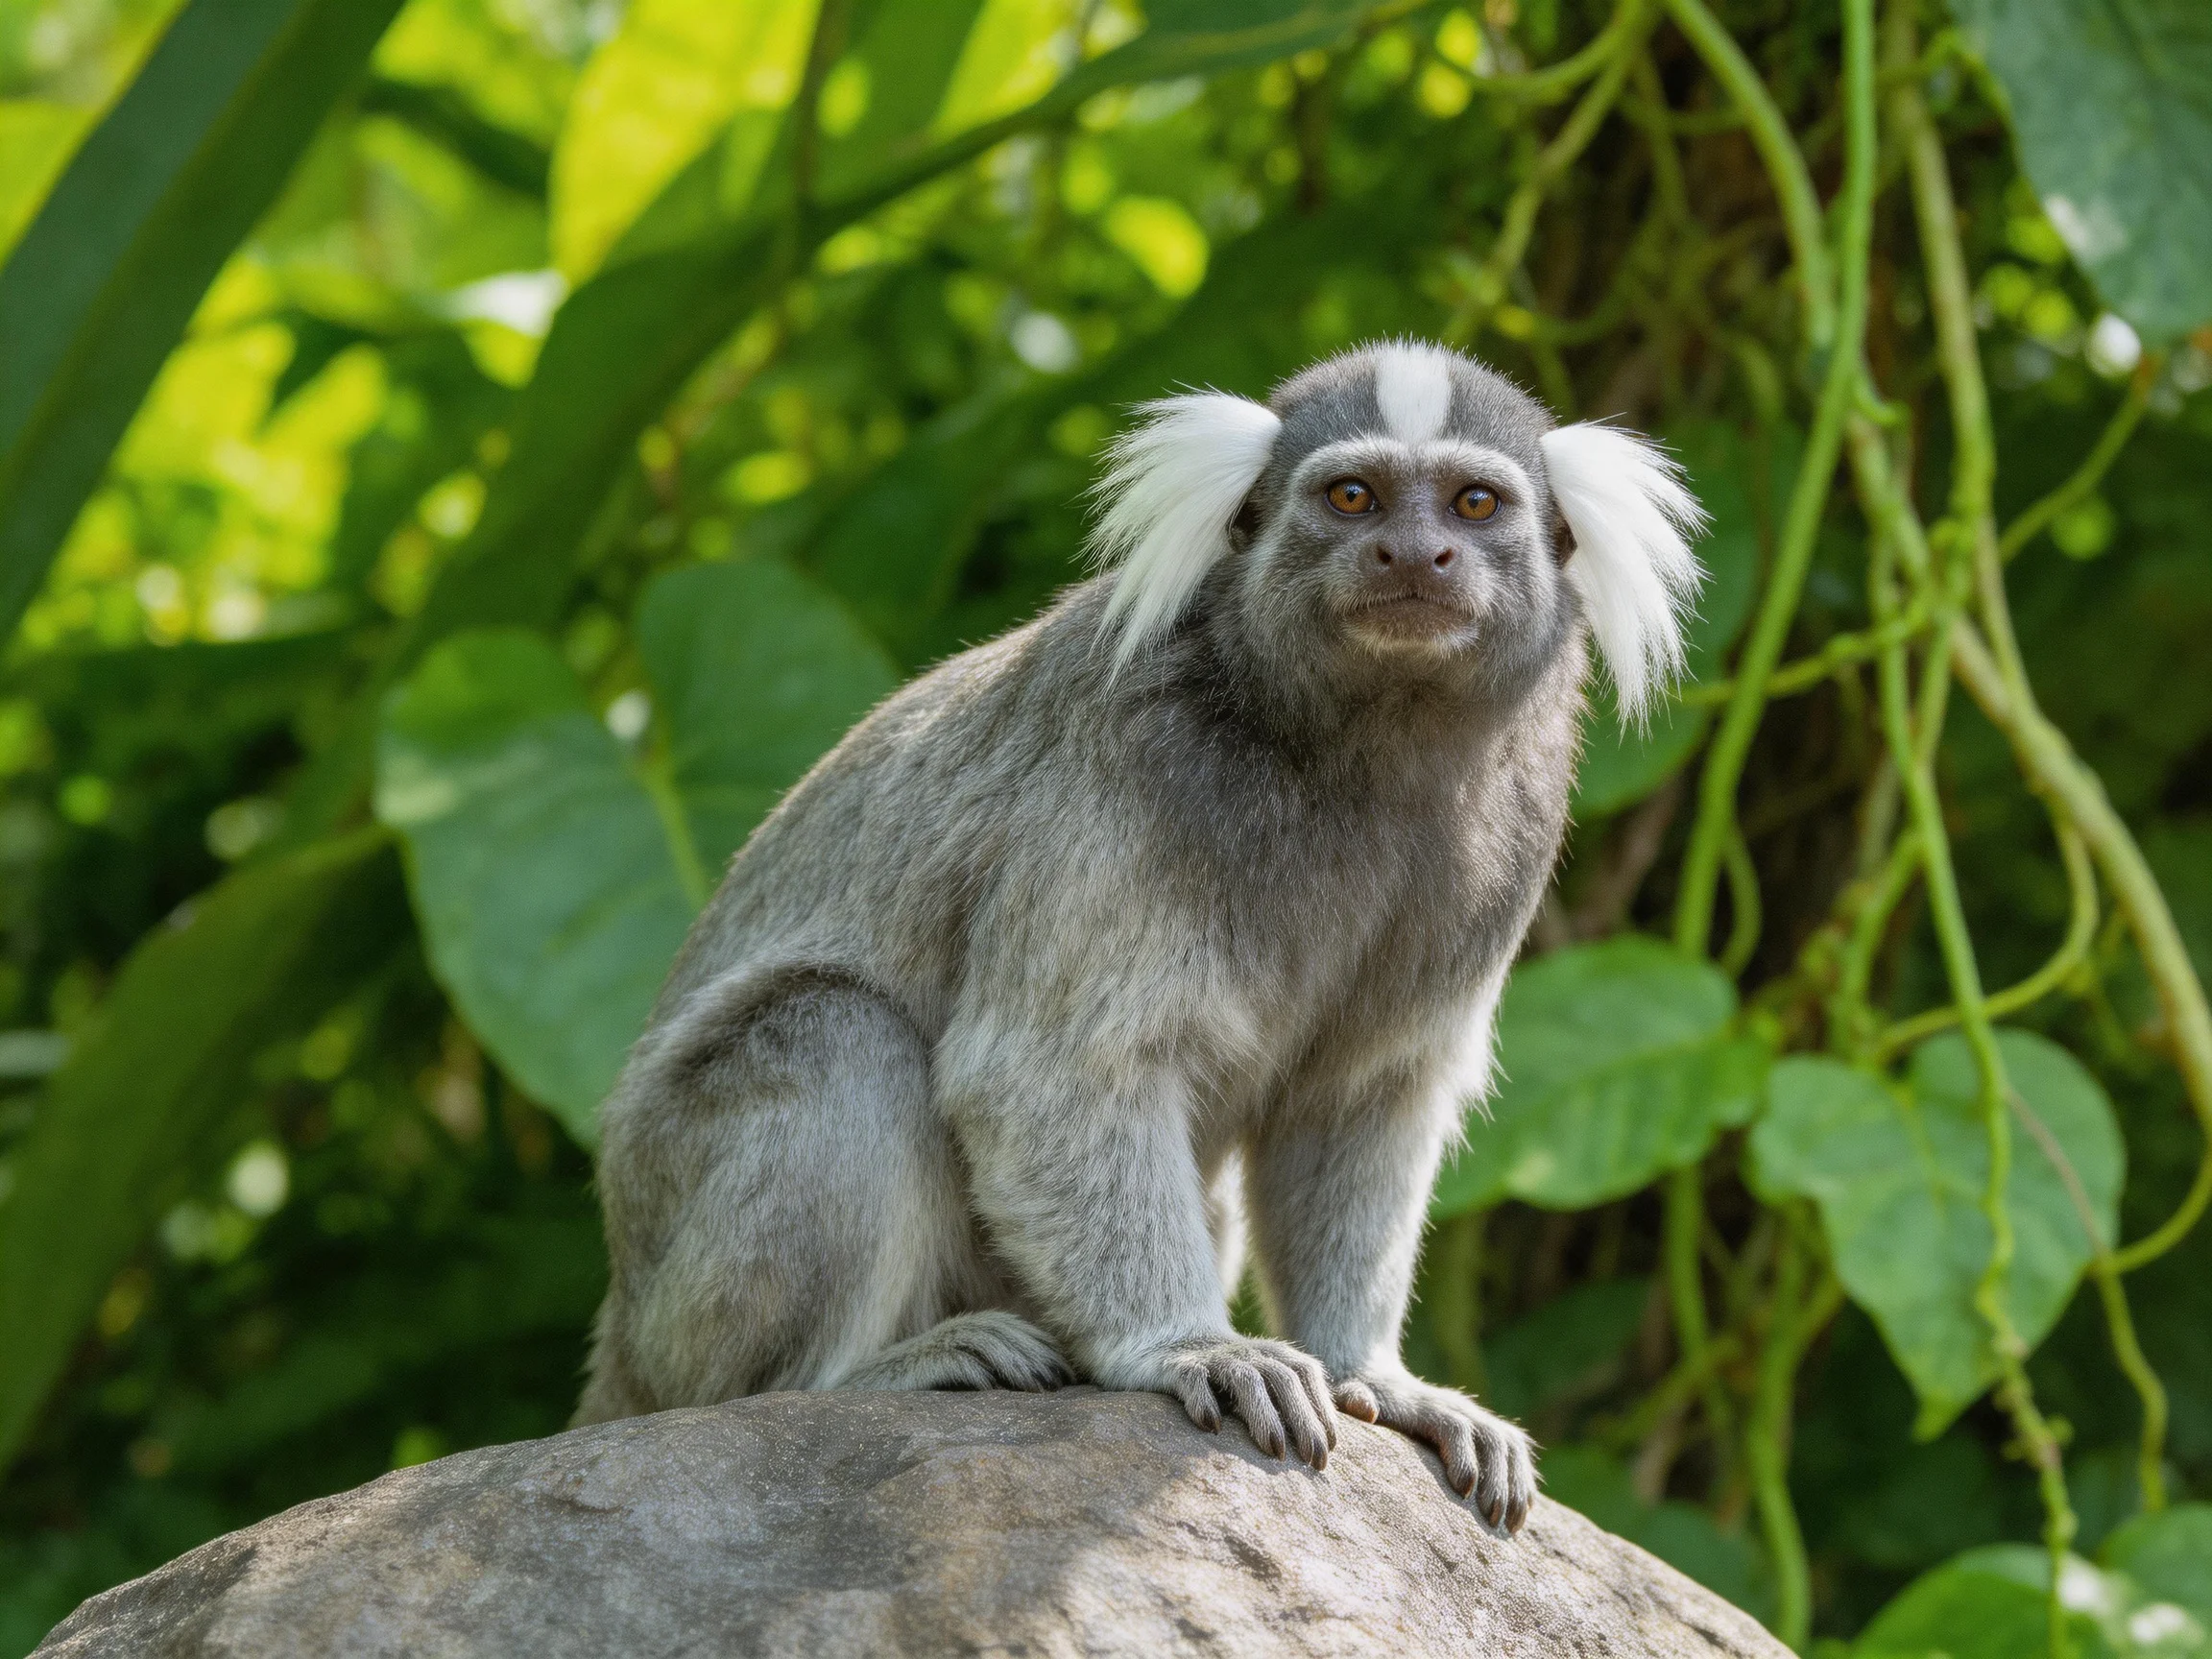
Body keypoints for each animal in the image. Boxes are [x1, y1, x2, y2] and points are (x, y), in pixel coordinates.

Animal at [574, 339, 1704, 1536]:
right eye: (1352, 498)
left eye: (1474, 504)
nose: (1414, 553)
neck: (1363, 749)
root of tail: (620, 1327)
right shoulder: (1121, 773)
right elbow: (1050, 1074)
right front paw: (1190, 1348)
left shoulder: (1505, 852)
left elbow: (1360, 1097)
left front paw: (1377, 1376)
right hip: (676, 1303)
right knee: (836, 1035)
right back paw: (855, 1375)